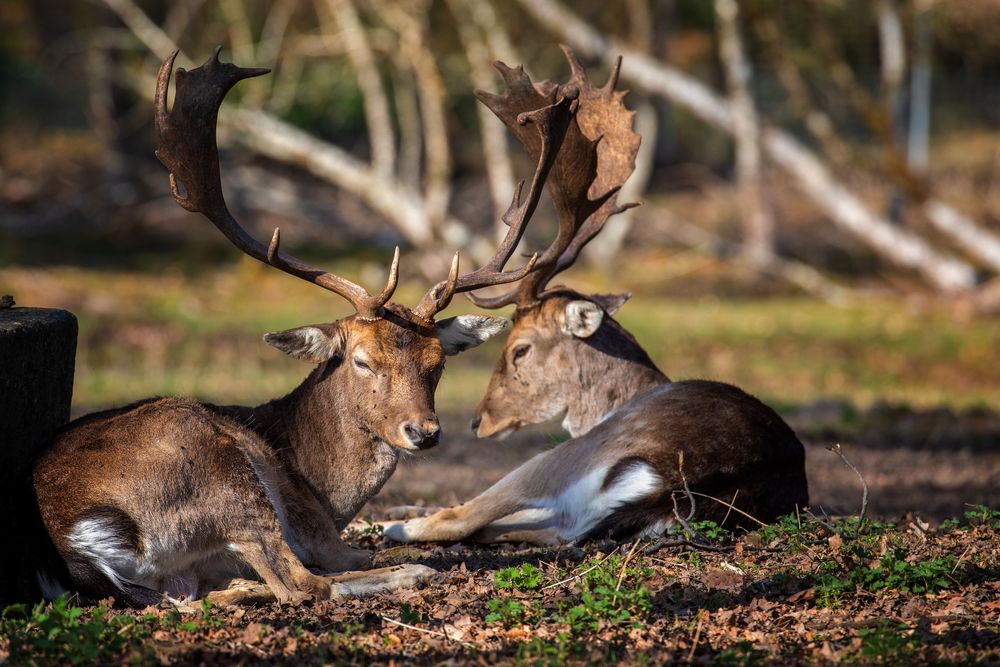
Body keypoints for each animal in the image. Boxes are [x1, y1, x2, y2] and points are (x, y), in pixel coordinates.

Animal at [31, 48, 580, 604]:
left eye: (438, 362)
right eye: (362, 361)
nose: (423, 431)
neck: (324, 490)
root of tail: (81, 541)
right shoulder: (316, 529)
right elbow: (344, 558)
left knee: (209, 593)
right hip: (218, 470)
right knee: (301, 584)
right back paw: (410, 571)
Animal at [384, 48, 812, 548]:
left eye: (519, 349)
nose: (479, 421)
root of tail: (675, 488)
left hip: (569, 458)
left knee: (462, 518)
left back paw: (389, 523)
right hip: (577, 514)